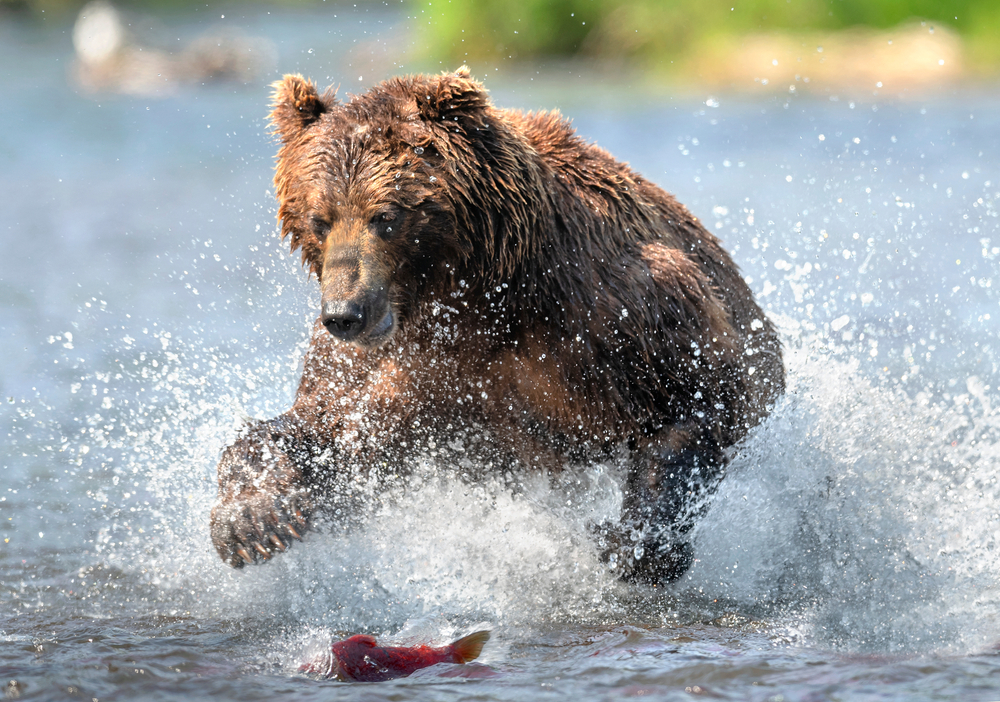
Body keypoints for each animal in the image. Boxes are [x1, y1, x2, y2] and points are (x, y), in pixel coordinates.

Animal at [211, 66, 784, 584]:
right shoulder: (395, 368)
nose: (345, 314)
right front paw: (251, 520)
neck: (475, 297)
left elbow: (694, 401)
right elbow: (330, 434)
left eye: (387, 216)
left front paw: (634, 545)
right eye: (319, 218)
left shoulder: (617, 314)